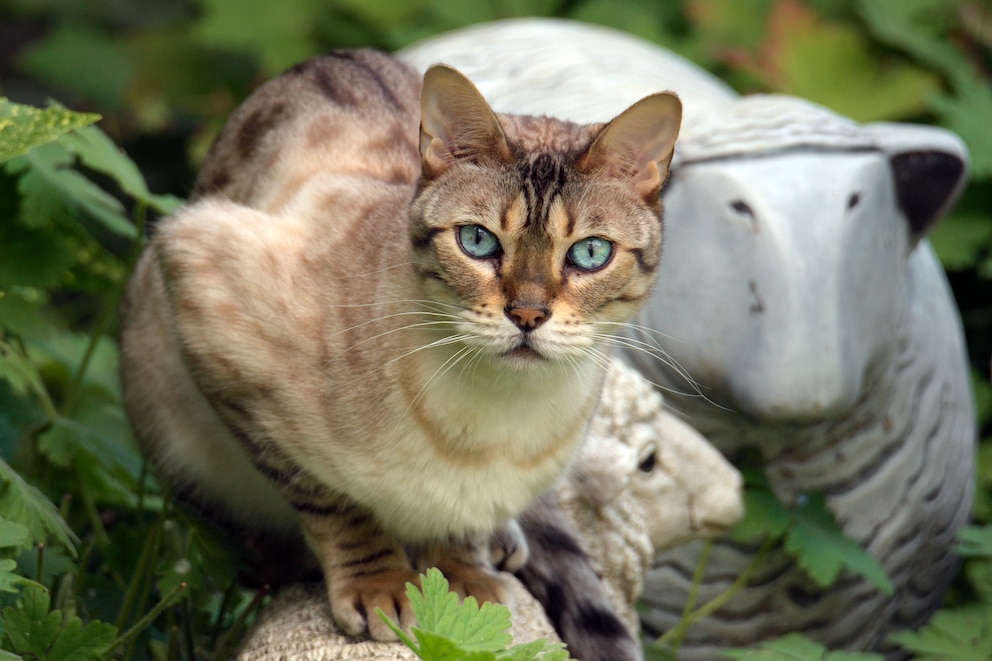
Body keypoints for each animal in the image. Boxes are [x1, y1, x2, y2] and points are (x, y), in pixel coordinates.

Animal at [114, 47, 676, 656]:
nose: (527, 315)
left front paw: (460, 582)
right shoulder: (208, 300)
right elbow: (336, 506)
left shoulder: (479, 490)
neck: (495, 421)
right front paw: (379, 586)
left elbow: (459, 528)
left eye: (590, 253)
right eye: (477, 241)